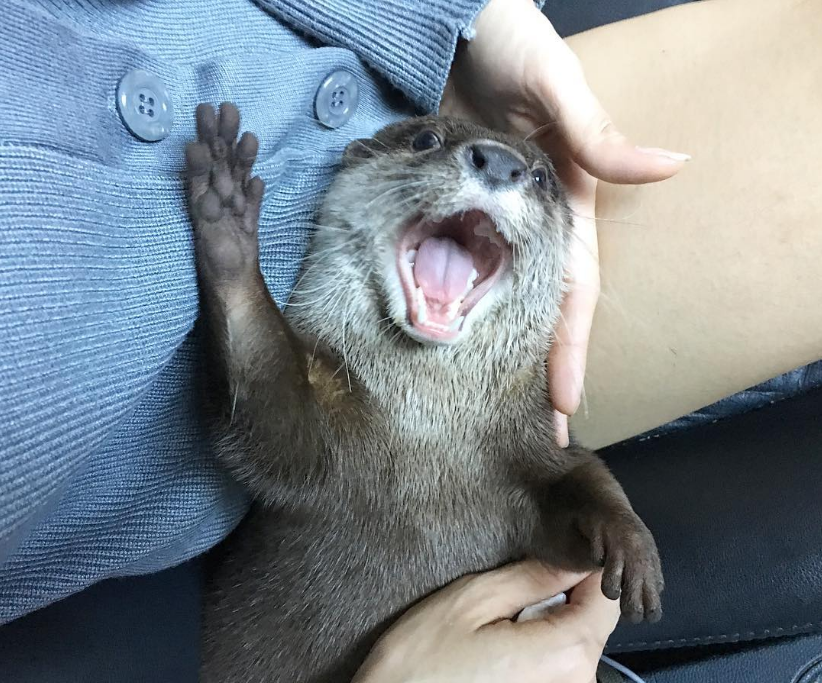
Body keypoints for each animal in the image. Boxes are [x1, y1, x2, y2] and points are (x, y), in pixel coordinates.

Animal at [187, 101, 664, 683]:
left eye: (541, 177)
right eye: (425, 139)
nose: (499, 162)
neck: (429, 428)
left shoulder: (532, 449)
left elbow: (583, 480)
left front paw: (632, 543)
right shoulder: (313, 440)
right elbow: (264, 416)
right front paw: (226, 222)